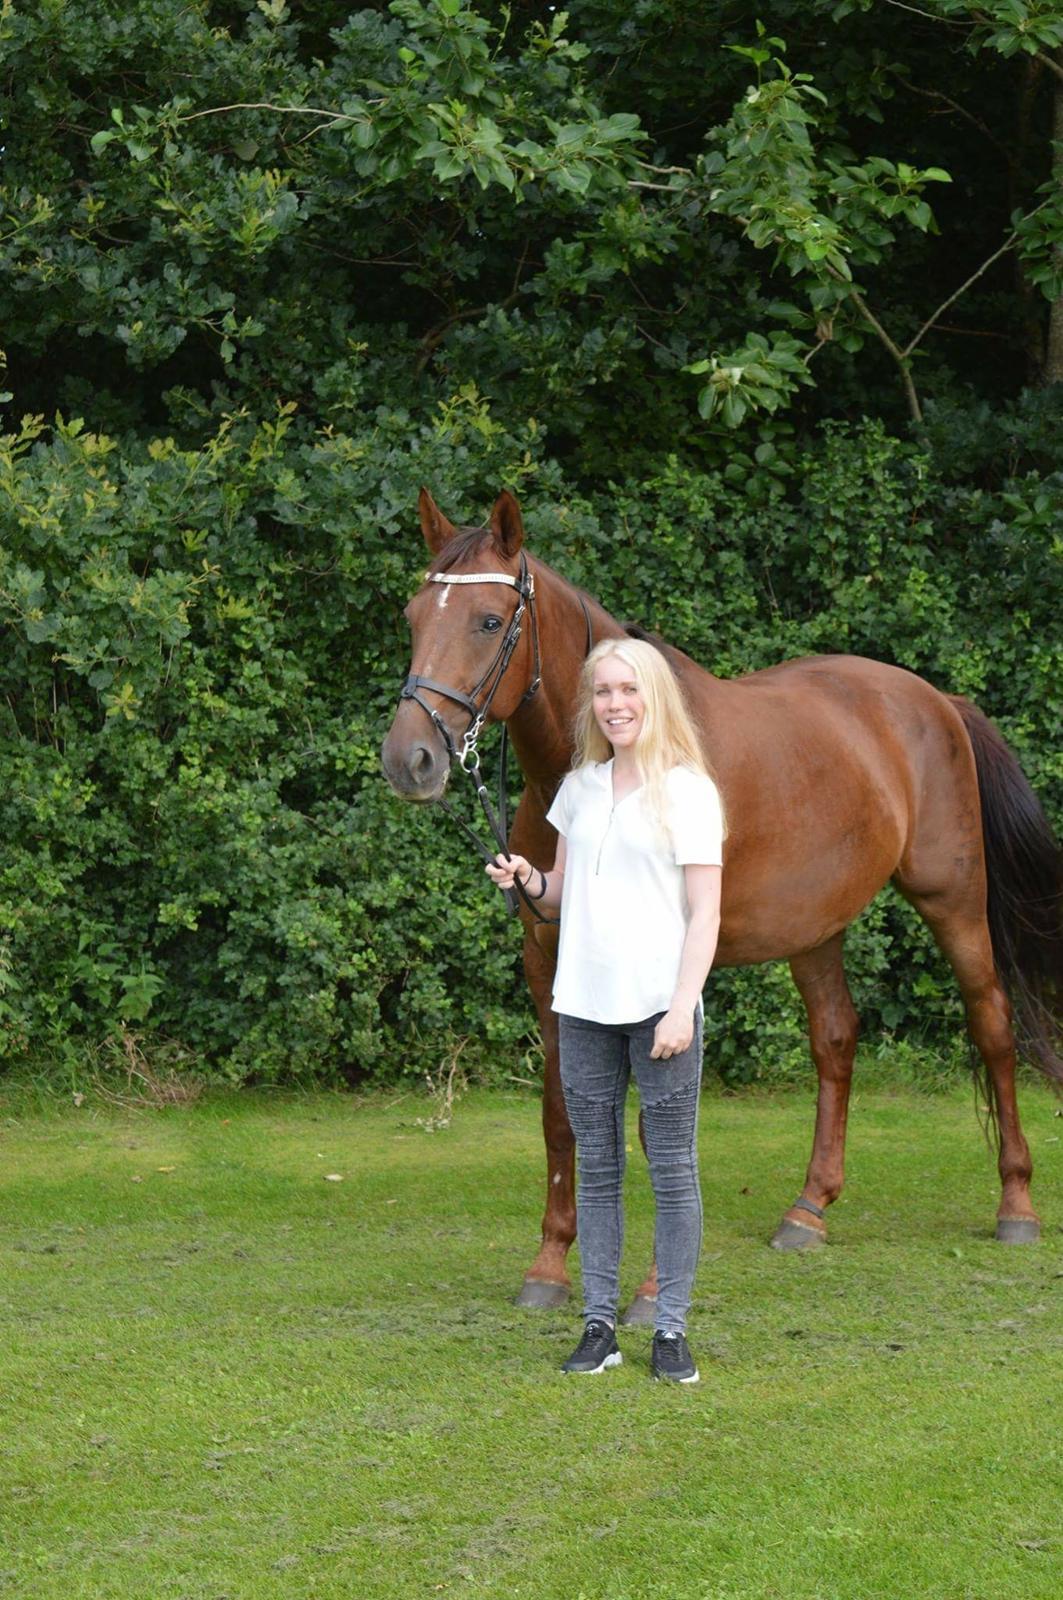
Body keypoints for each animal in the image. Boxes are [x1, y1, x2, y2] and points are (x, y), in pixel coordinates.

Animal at [382, 486, 1063, 1324]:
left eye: (486, 621)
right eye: (413, 617)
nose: (409, 759)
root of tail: (934, 699)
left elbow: (660, 1125)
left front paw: (649, 1291)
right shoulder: (549, 962)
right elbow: (560, 1113)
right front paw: (548, 1265)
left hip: (952, 899)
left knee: (993, 1027)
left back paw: (1015, 1205)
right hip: (815, 927)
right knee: (835, 1039)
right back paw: (808, 1209)